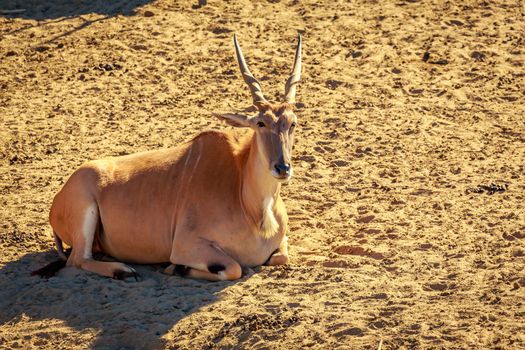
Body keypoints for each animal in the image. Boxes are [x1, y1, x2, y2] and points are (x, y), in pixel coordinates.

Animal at [32, 34, 300, 282]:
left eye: (292, 123)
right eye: (260, 123)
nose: (282, 168)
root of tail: (58, 200)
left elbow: (280, 256)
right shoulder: (186, 245)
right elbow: (234, 268)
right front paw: (176, 268)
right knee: (77, 259)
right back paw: (123, 270)